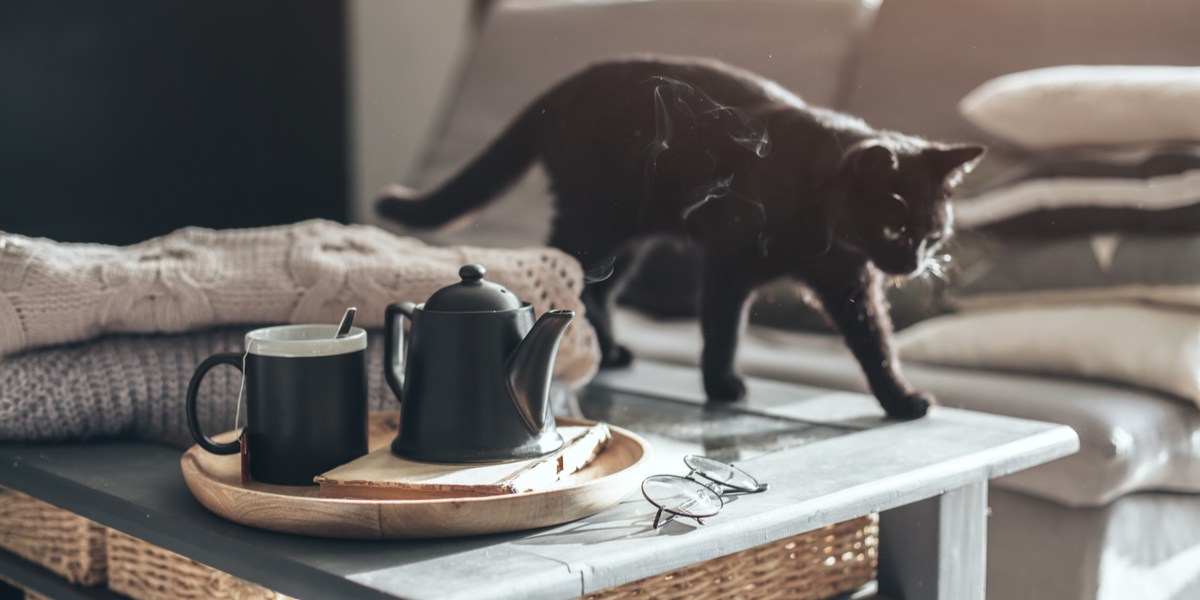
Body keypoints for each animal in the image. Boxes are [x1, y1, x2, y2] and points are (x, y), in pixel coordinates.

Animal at [381, 58, 984, 420]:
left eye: (932, 236)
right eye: (893, 227)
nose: (909, 264)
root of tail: (563, 86)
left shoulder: (848, 280)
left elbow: (875, 342)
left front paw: (899, 400)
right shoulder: (728, 260)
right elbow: (722, 328)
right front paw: (721, 386)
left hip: (627, 239)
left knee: (599, 290)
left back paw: (613, 351)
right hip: (596, 222)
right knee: (571, 279)